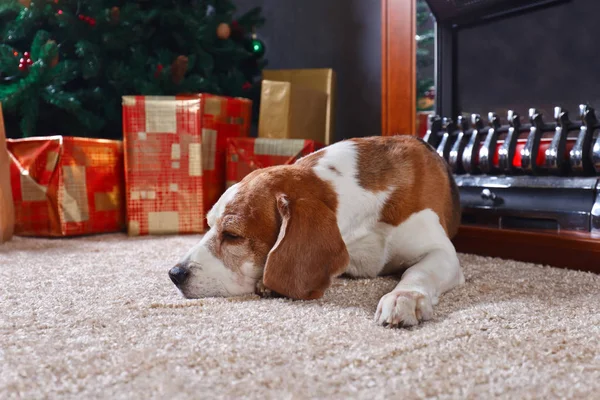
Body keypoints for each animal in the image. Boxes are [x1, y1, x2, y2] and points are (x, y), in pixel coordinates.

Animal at [169, 136, 464, 326]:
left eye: (232, 235)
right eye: (208, 226)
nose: (174, 274)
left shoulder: (442, 252)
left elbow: (418, 271)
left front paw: (404, 297)